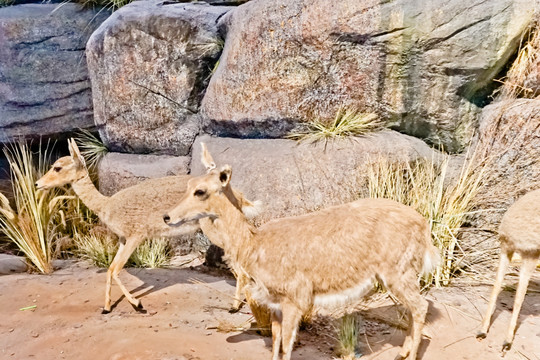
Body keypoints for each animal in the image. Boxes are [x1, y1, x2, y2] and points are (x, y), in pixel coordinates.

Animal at [35, 139, 260, 314]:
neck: (106, 205)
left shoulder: (136, 236)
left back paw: (235, 306)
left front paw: (138, 304)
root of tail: (238, 194)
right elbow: (110, 269)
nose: (37, 184)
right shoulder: (123, 240)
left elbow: (117, 270)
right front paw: (106, 307)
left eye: (57, 167)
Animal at [163, 165, 438, 360]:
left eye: (201, 191)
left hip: (399, 274)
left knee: (421, 306)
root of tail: (424, 226)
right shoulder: (274, 305)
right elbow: (275, 344)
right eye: (189, 185)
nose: (167, 216)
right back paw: (401, 352)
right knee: (412, 310)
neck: (255, 244)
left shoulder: (294, 301)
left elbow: (287, 346)